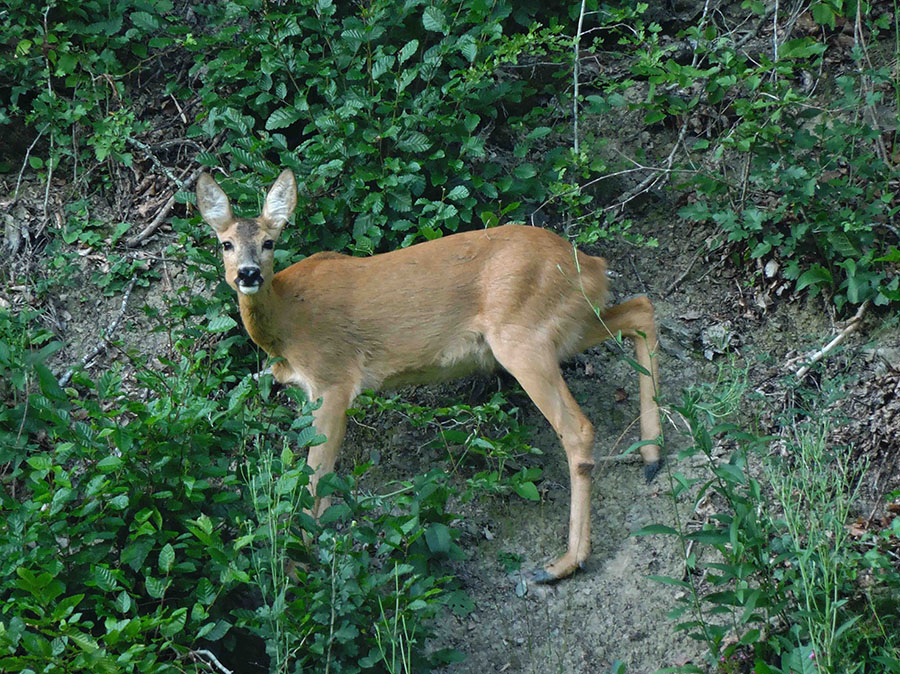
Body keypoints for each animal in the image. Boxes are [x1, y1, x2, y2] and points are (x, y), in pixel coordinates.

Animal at [197, 169, 660, 584]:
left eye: (269, 242)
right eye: (225, 244)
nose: (248, 274)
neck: (286, 321)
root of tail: (591, 266)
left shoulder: (332, 381)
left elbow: (315, 480)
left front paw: (299, 567)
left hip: (522, 337)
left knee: (578, 427)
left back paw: (562, 564)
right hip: (569, 325)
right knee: (641, 308)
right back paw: (652, 456)